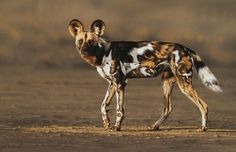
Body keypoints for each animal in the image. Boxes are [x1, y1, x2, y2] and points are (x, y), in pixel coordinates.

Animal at [68, 19, 221, 131]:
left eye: (91, 41)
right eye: (80, 41)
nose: (84, 51)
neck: (103, 52)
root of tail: (186, 48)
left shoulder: (120, 82)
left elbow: (119, 109)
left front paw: (117, 127)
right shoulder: (112, 83)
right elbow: (103, 105)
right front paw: (107, 123)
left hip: (184, 84)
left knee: (204, 105)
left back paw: (203, 128)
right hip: (166, 83)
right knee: (168, 108)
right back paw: (155, 126)